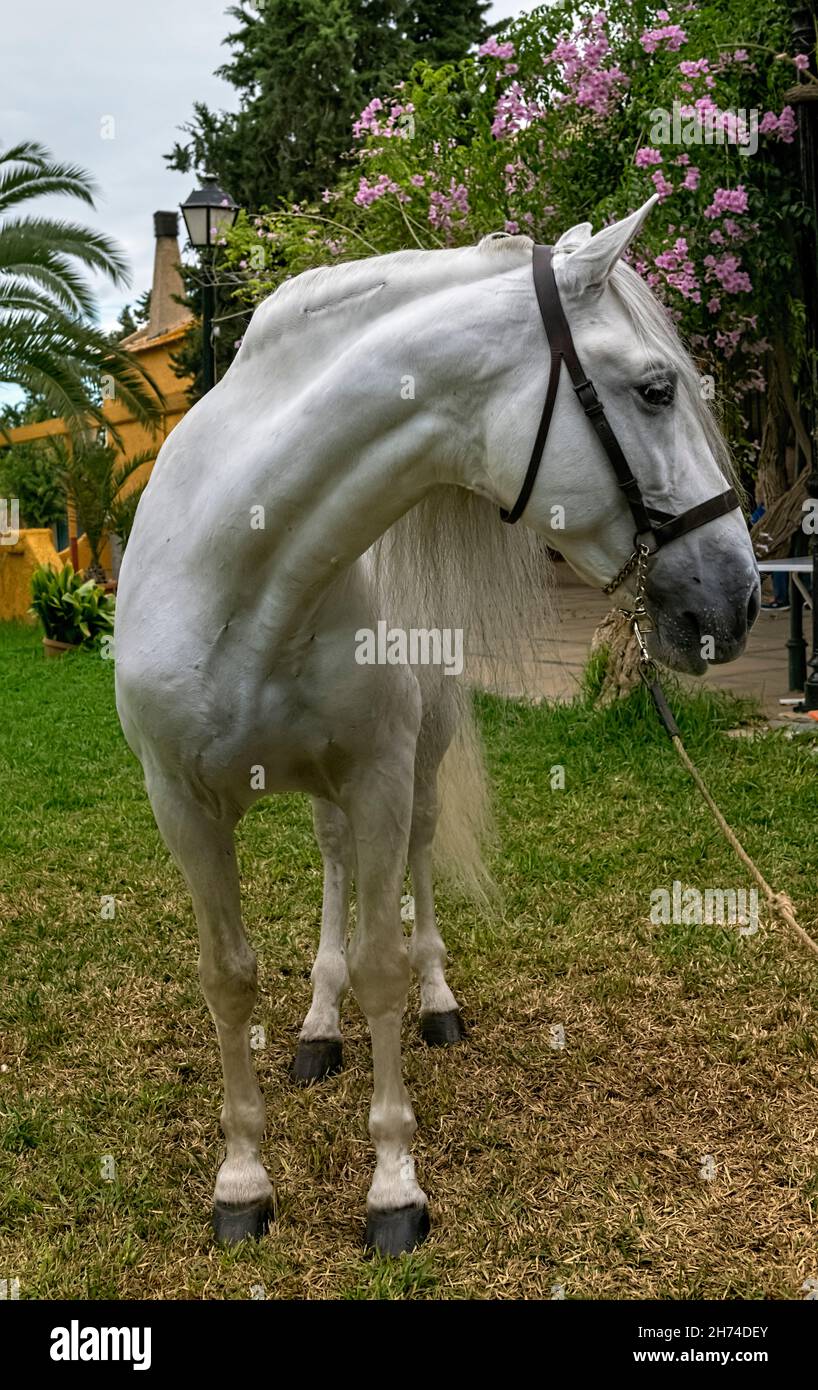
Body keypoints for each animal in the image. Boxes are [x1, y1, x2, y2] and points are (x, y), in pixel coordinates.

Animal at [114, 195, 760, 1255]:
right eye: (658, 389)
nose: (737, 598)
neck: (241, 565)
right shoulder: (183, 805)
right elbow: (229, 979)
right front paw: (242, 1179)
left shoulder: (377, 775)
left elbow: (383, 963)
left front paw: (393, 1188)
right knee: (334, 869)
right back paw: (317, 1025)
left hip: (416, 765)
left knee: (413, 865)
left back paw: (436, 1004)